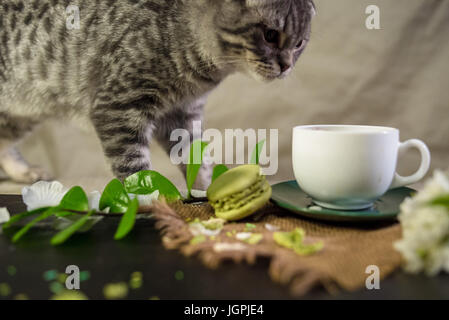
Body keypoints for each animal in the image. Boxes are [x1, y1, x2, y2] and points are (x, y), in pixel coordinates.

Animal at [0, 0, 316, 189]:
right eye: (270, 35)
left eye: (300, 43)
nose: (287, 65)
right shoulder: (117, 107)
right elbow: (133, 167)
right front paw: (148, 203)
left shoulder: (183, 115)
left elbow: (198, 160)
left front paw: (208, 192)